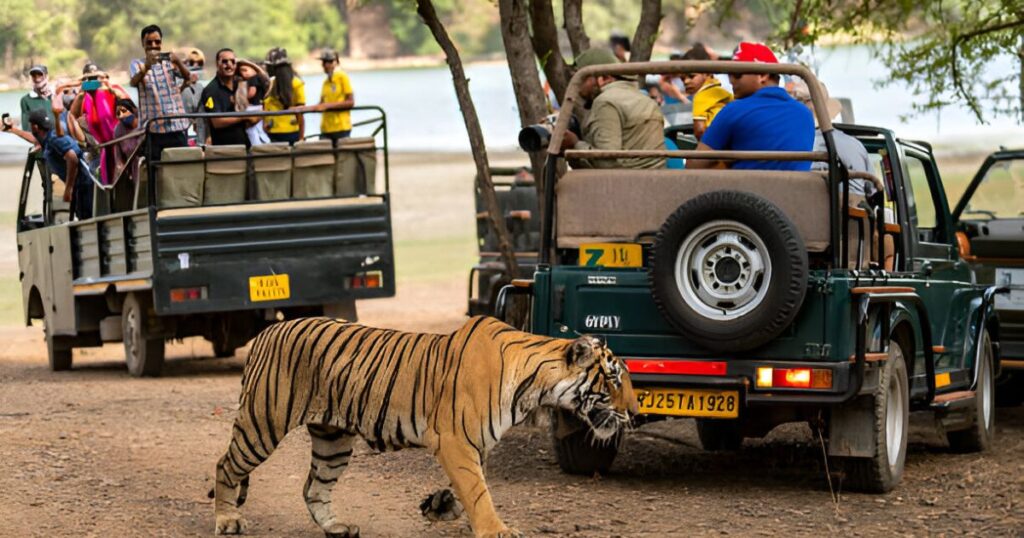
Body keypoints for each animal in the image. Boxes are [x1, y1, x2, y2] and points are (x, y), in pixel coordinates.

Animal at [212, 315, 637, 538]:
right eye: (614, 380)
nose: (634, 413)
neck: (534, 387)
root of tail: (268, 331)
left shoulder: (474, 444)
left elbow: (470, 486)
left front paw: (439, 505)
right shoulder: (454, 440)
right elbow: (478, 491)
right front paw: (495, 530)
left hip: (333, 441)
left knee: (313, 487)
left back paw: (337, 527)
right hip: (263, 423)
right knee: (226, 466)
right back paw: (227, 519)